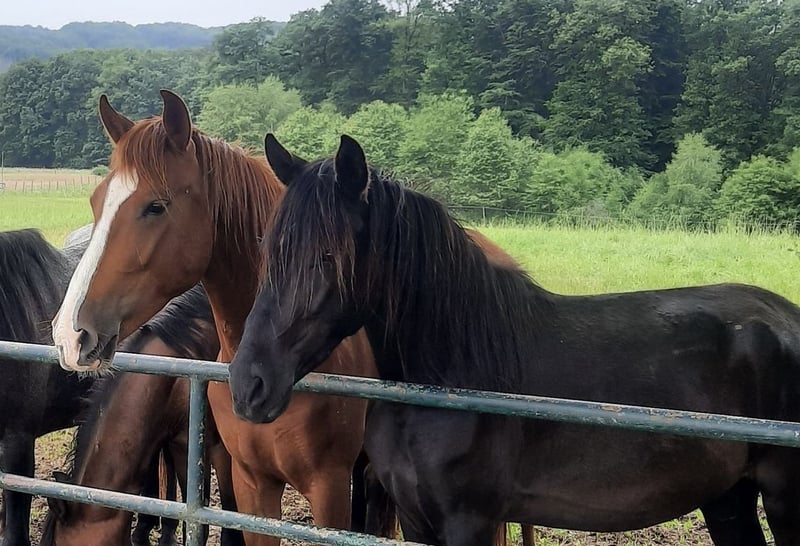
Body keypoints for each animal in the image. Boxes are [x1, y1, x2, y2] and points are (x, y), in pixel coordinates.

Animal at [228, 133, 800, 546]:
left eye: (329, 256)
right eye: (267, 248)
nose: (248, 385)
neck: (450, 374)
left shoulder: (470, 522)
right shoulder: (415, 519)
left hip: (782, 498)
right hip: (728, 498)